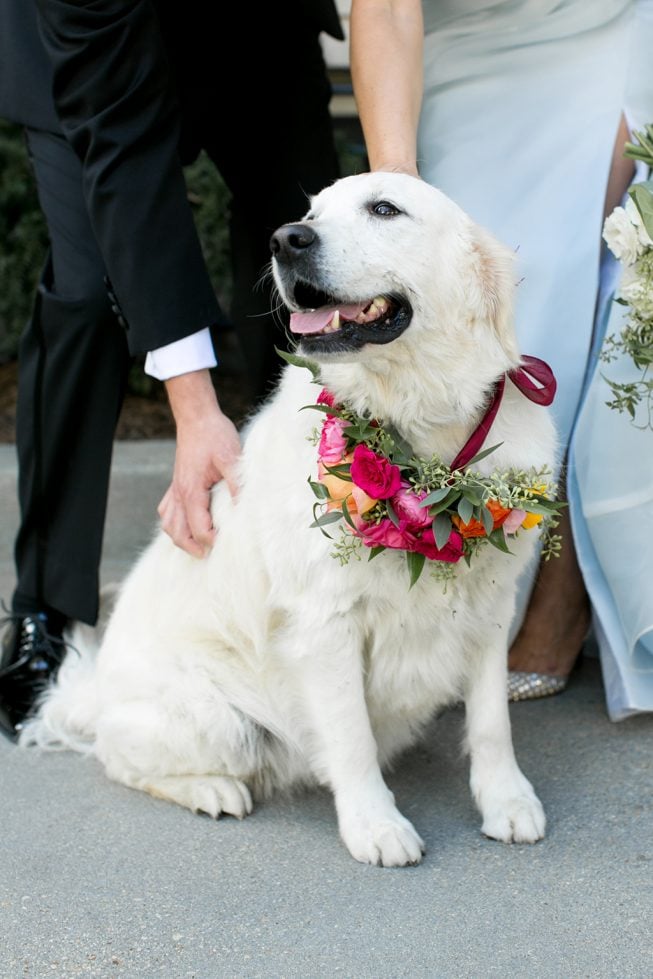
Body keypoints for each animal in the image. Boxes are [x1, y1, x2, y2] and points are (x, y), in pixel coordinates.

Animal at [22, 174, 556, 864]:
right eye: (311, 213)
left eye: (385, 209)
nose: (286, 240)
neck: (421, 438)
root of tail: (94, 694)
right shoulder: (325, 624)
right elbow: (352, 737)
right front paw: (375, 825)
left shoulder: (490, 604)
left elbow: (492, 722)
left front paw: (506, 801)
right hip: (218, 719)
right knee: (119, 758)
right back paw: (211, 790)